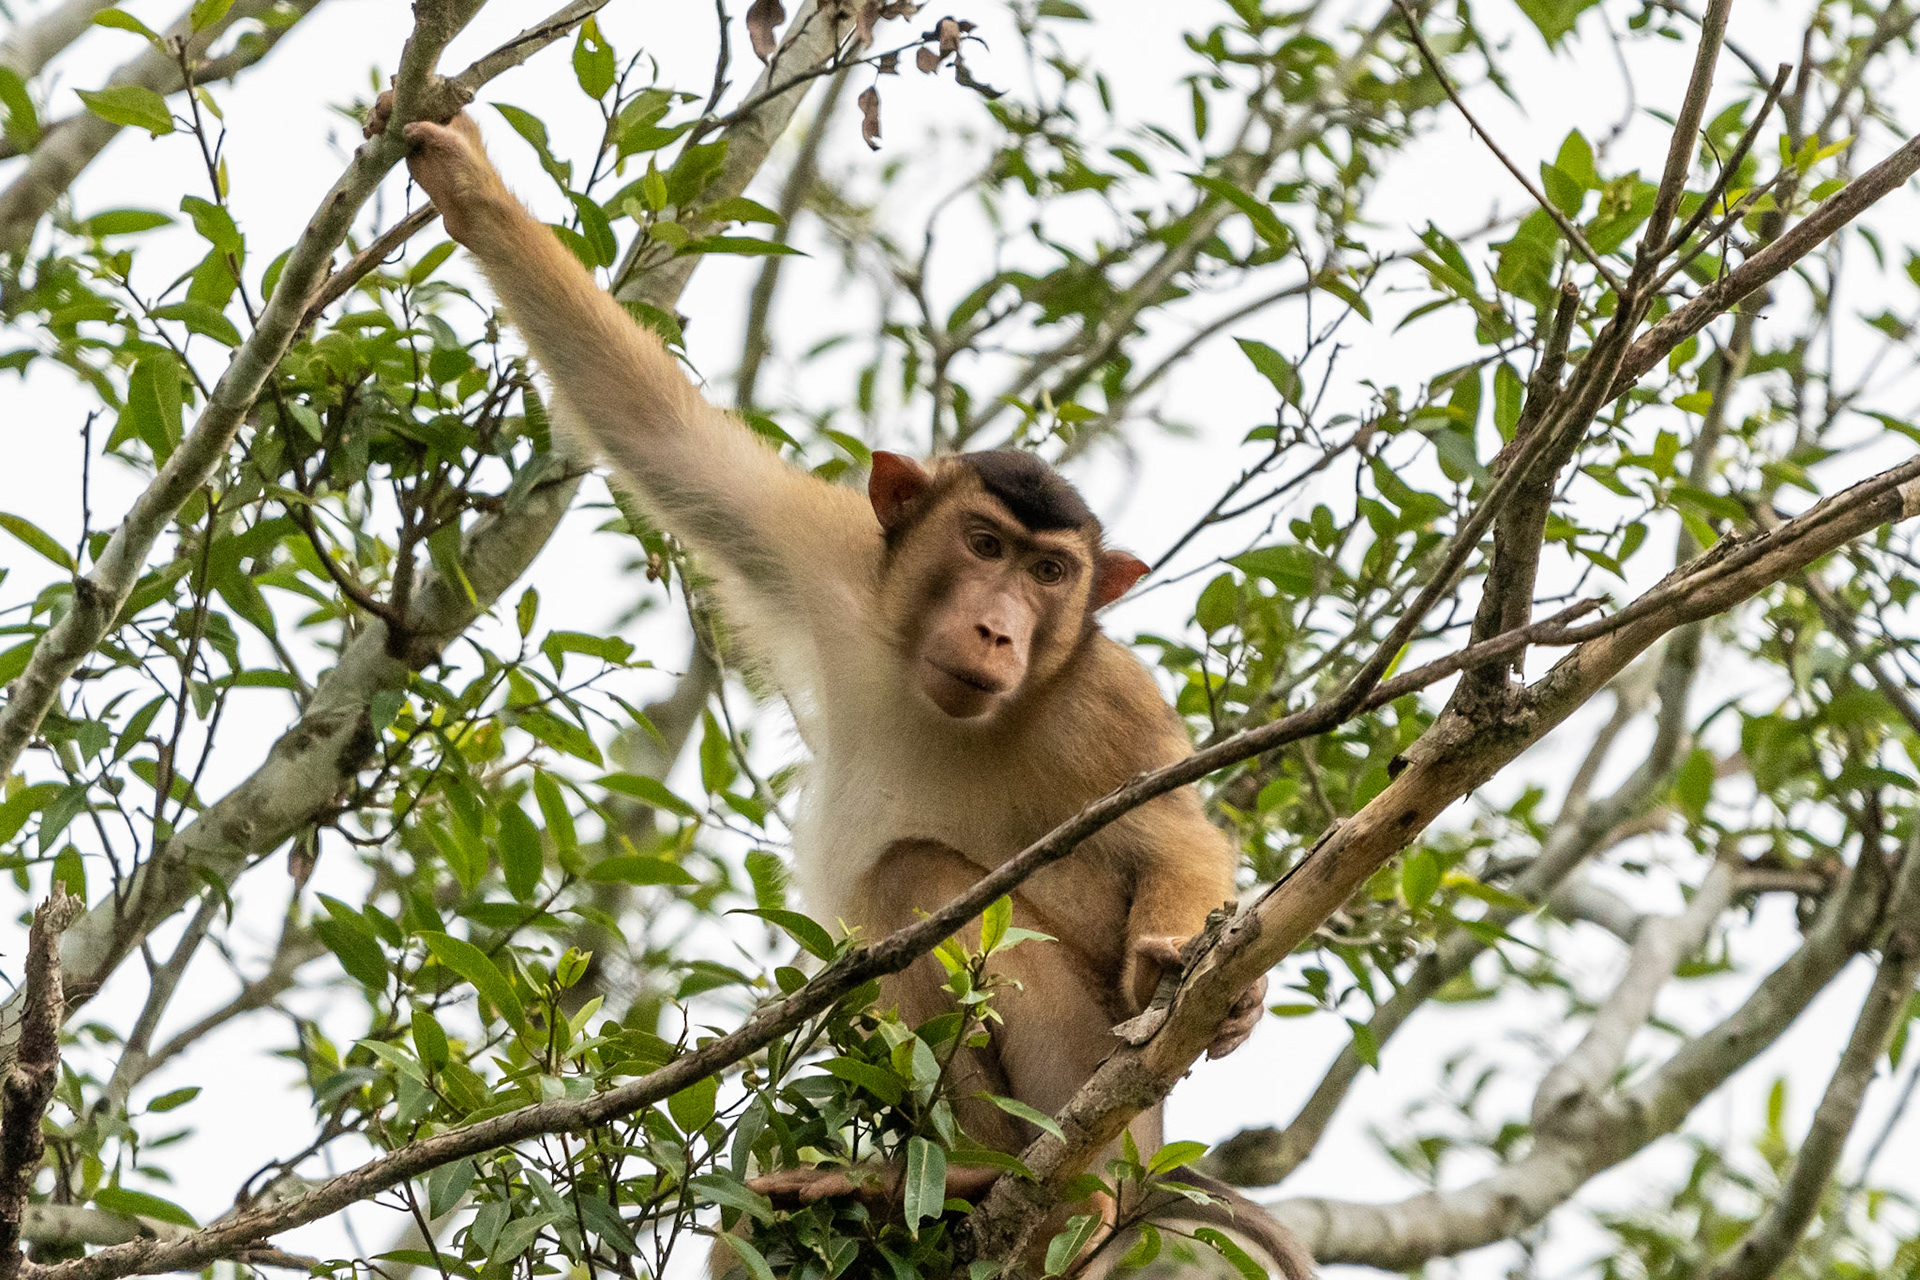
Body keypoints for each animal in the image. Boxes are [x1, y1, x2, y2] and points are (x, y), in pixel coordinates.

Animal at [366, 99, 1311, 1279]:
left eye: (1051, 573)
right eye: (986, 544)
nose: (998, 626)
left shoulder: (1109, 700)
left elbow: (1175, 837)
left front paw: (1200, 973)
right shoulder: (831, 554)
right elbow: (659, 435)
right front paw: (466, 181)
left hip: (1095, 1105)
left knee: (917, 881)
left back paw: (991, 1181)